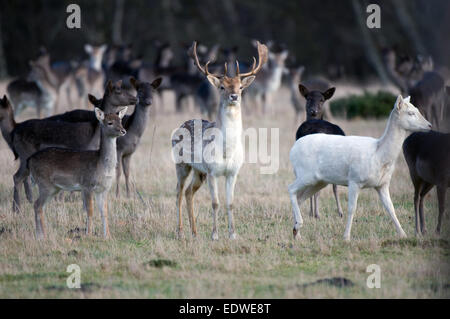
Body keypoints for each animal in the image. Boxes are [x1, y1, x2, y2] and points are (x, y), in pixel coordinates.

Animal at [27, 107, 127, 240]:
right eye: (109, 122)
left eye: (120, 120)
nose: (123, 130)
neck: (101, 166)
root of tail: (29, 161)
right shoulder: (87, 185)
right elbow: (90, 210)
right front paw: (88, 235)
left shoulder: (103, 189)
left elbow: (104, 211)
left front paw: (108, 236)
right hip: (44, 183)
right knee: (37, 205)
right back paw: (43, 236)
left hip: (53, 188)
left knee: (39, 206)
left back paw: (40, 235)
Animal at [170, 40, 268, 240]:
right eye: (222, 86)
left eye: (240, 87)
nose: (234, 96)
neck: (226, 151)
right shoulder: (212, 171)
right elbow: (215, 203)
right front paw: (215, 235)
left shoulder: (233, 172)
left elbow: (230, 203)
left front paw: (233, 234)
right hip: (182, 164)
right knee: (178, 192)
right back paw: (181, 231)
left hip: (199, 172)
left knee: (189, 192)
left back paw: (195, 232)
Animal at [288, 96, 432, 241]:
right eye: (410, 113)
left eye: (417, 109)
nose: (429, 125)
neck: (379, 154)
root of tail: (293, 149)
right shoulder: (354, 180)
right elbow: (352, 208)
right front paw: (346, 237)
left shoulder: (382, 184)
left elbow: (391, 208)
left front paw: (403, 234)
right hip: (306, 174)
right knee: (291, 189)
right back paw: (298, 225)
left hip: (319, 181)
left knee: (299, 198)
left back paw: (297, 233)